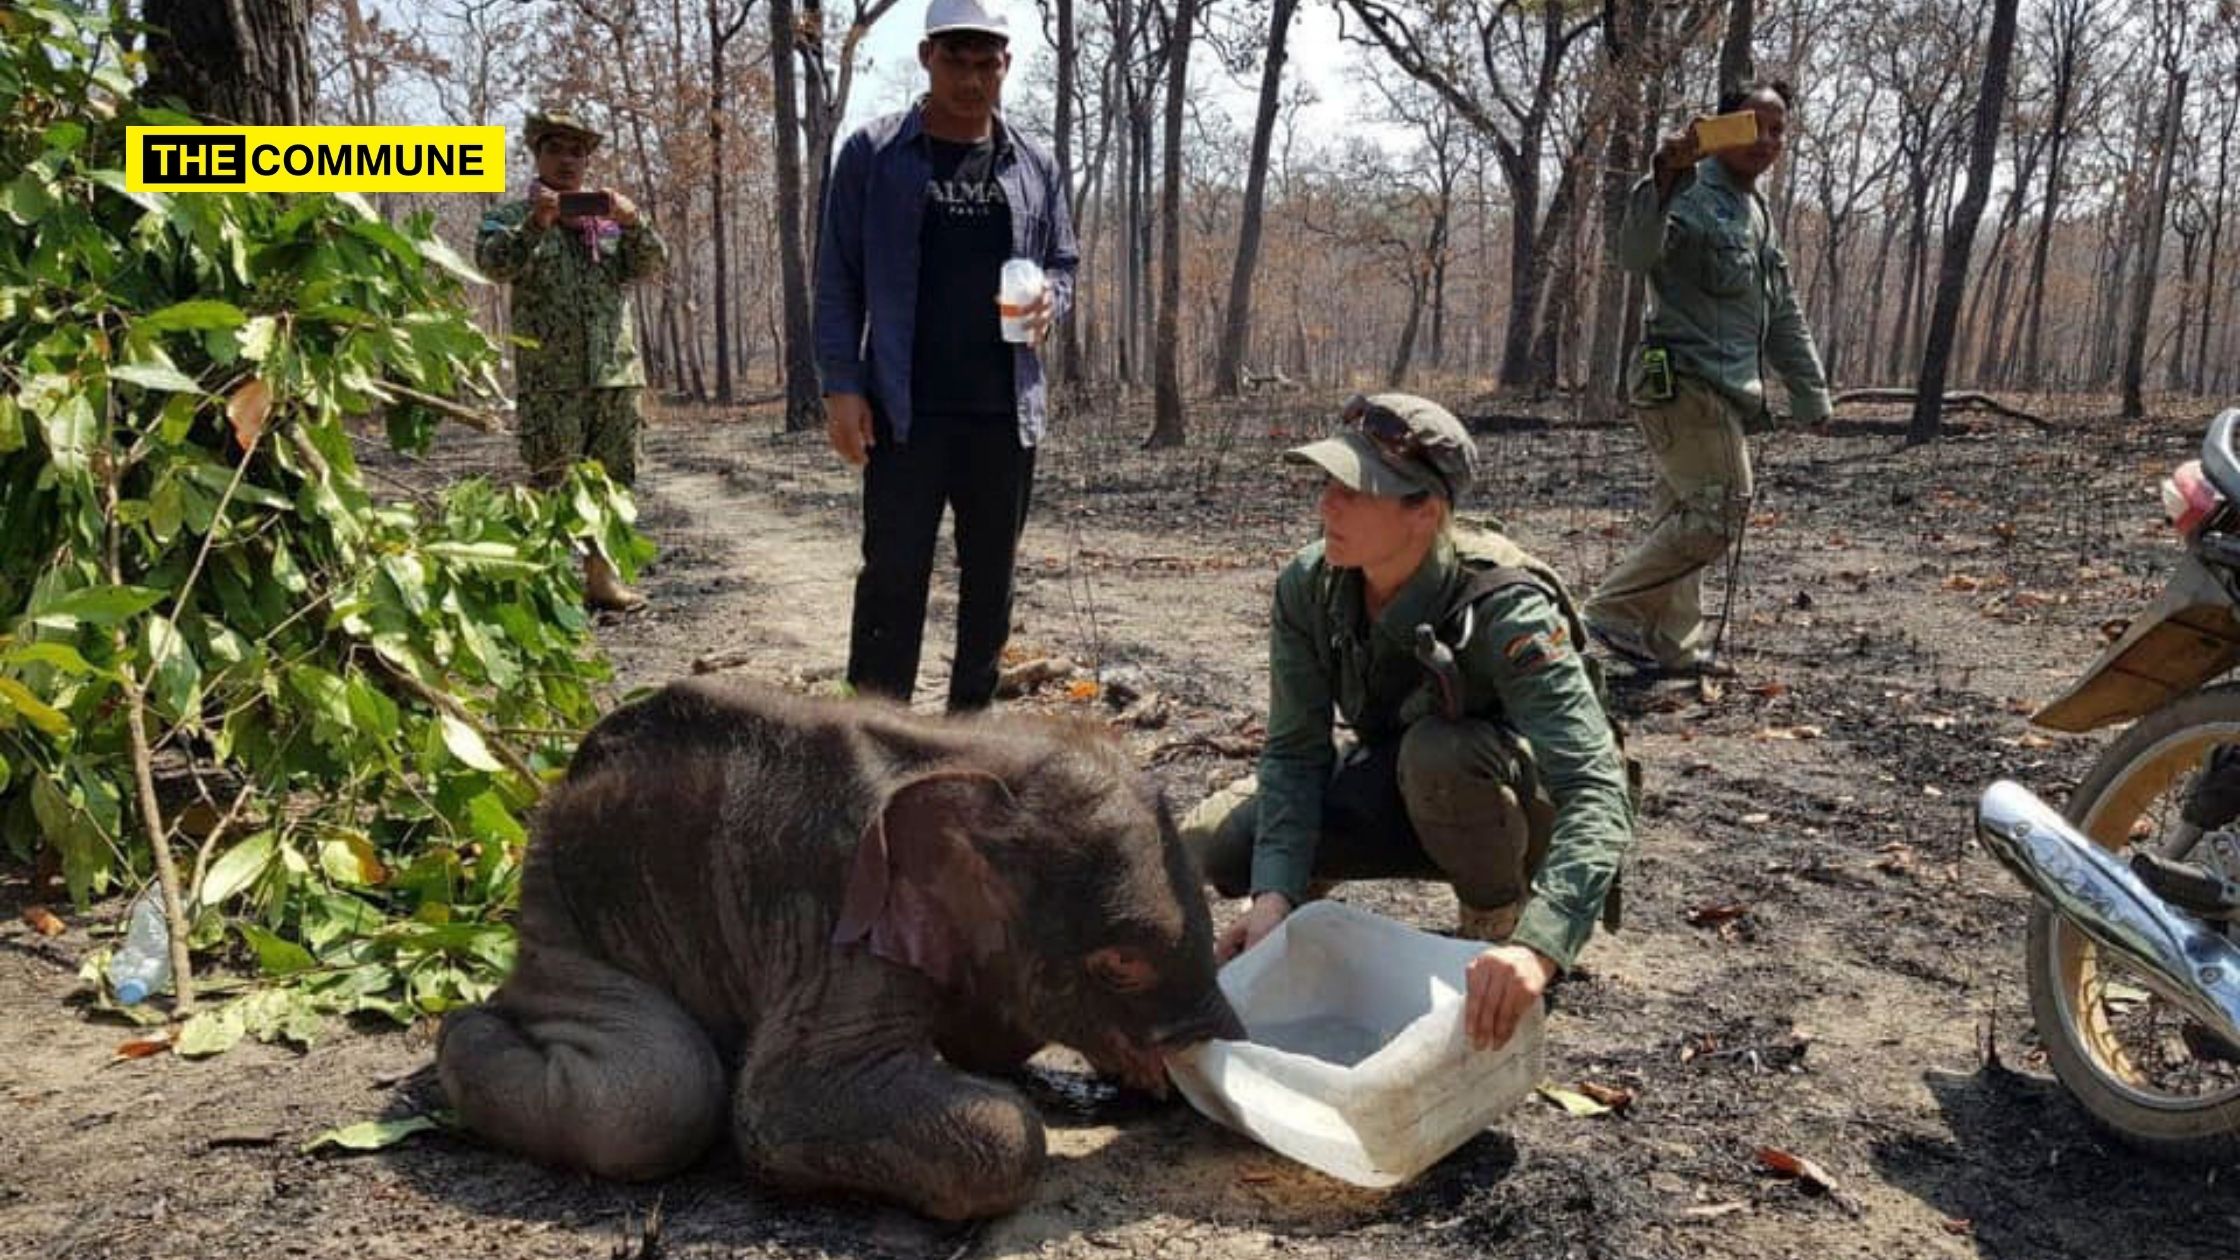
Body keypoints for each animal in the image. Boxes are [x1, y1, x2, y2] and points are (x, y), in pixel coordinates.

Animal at [435, 679, 1243, 1220]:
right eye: (1121, 964)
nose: (1199, 1070)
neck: (977, 757)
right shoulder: (840, 925)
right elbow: (777, 1104)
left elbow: (986, 1035)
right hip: (564, 913)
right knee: (658, 1096)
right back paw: (464, 1026)